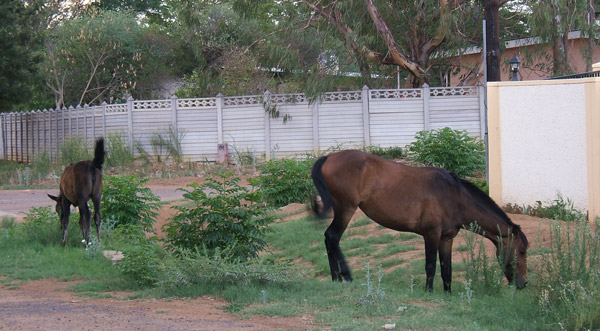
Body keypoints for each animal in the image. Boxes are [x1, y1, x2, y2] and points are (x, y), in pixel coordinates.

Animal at [312, 150, 528, 294]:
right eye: (522, 251)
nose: (523, 284)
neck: (454, 196)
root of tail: (329, 157)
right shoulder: (431, 235)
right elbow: (431, 266)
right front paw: (428, 292)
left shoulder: (447, 238)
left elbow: (447, 269)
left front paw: (448, 294)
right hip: (345, 209)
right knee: (332, 237)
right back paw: (345, 276)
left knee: (330, 238)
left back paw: (337, 277)